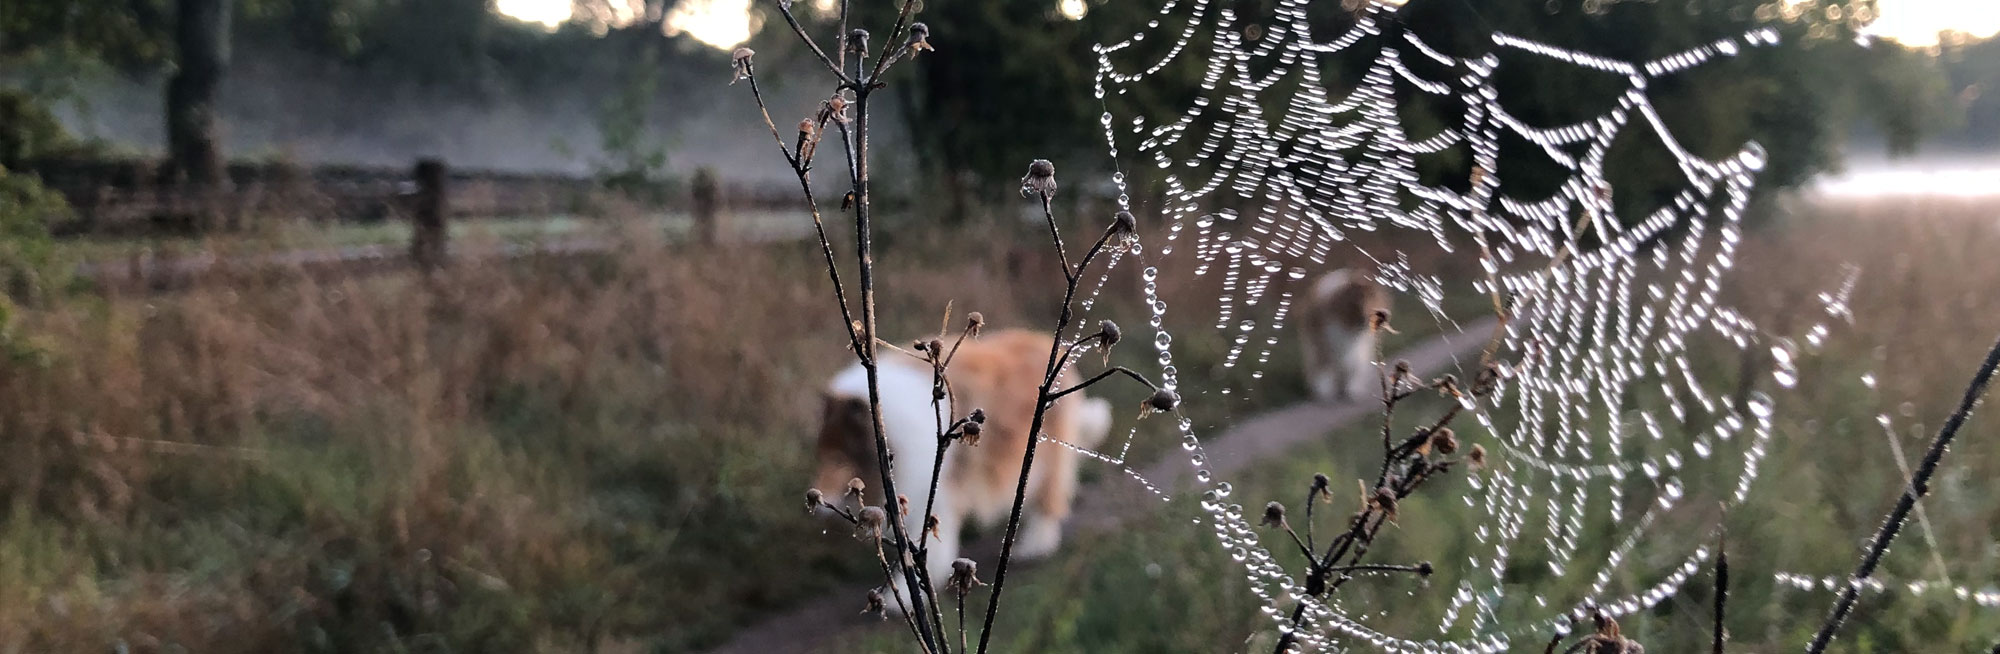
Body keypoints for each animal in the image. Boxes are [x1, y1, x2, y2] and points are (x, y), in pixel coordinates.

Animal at [812, 330, 1112, 592]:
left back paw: (1035, 545)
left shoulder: (933, 492)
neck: (888, 430)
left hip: (1044, 459)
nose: (820, 501)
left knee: (1049, 501)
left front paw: (903, 598)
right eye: (821, 455)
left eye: (838, 460)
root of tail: (1048, 343)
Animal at [1296, 270, 1392, 402]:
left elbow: (1353, 364)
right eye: (1360, 301)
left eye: (1374, 300)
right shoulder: (1329, 340)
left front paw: (1352, 390)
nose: (1368, 319)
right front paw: (1326, 392)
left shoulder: (1357, 345)